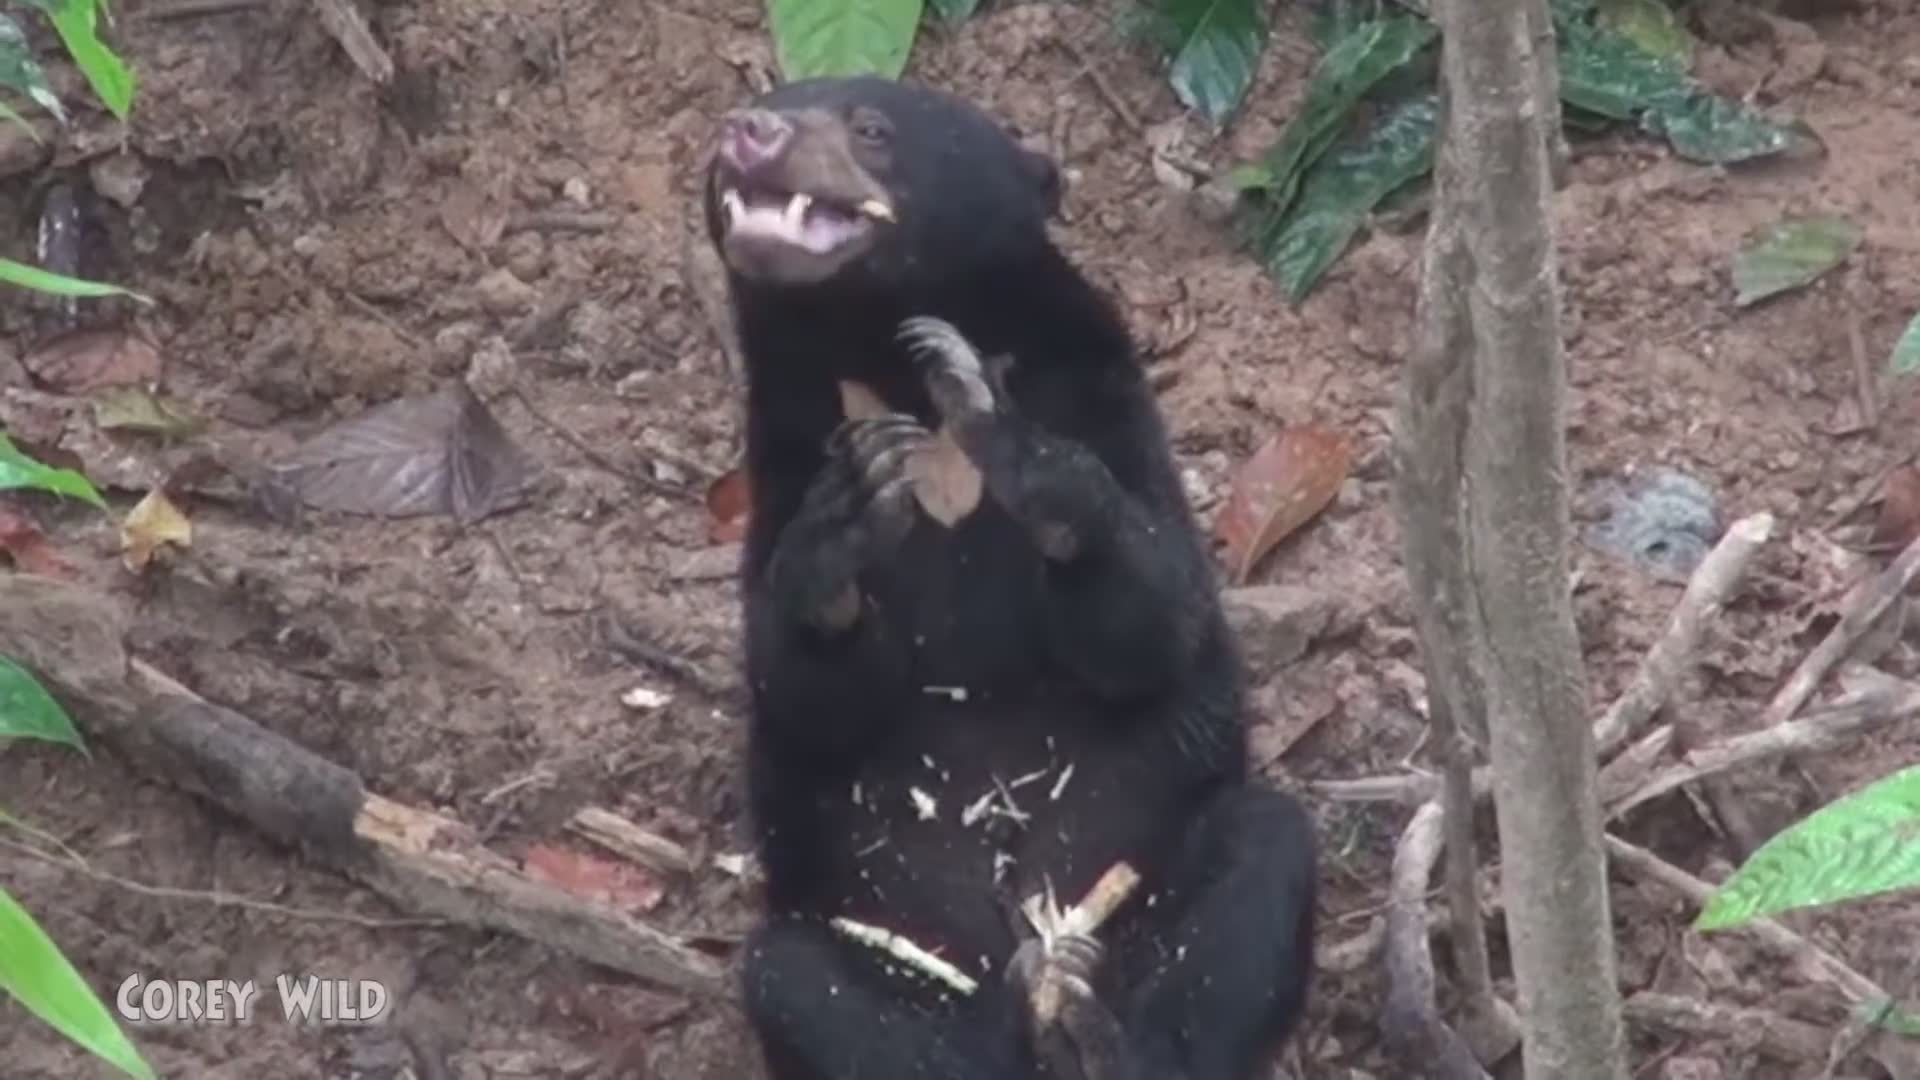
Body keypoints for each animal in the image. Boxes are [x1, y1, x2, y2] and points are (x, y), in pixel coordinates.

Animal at [699, 74, 1318, 1080]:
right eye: (768, 101)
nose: (747, 132)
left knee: (1260, 863)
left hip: (1144, 904)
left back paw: (1102, 1040)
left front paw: (1005, 433)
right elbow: (803, 688)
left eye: (871, 128)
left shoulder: (1100, 396)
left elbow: (1154, 620)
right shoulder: (782, 449)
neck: (875, 356)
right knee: (799, 980)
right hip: (906, 957)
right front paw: (852, 511)